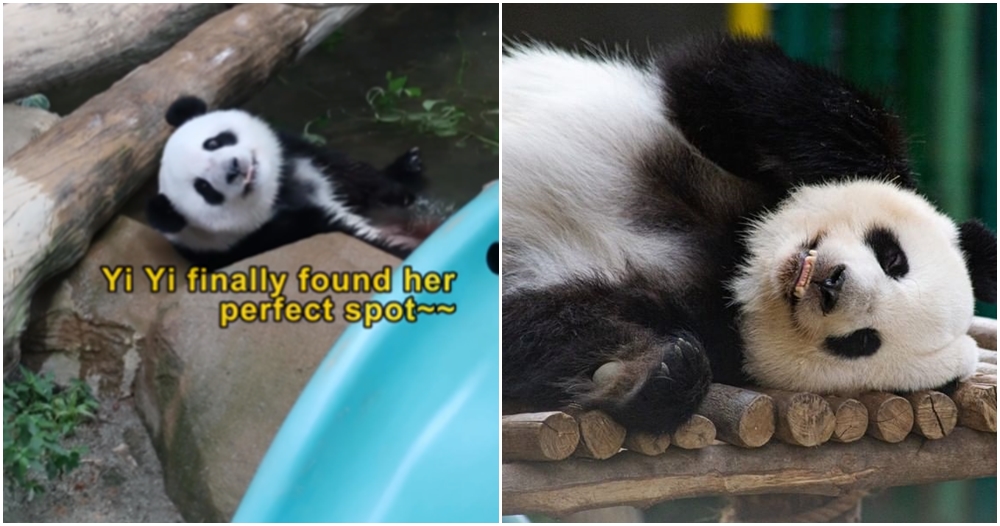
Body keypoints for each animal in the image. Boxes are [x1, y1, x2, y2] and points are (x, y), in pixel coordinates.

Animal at [147, 96, 437, 270]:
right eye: (204, 188)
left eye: (213, 143)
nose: (234, 168)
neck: (281, 192)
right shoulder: (273, 233)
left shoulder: (301, 156)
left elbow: (355, 176)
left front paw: (402, 182)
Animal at [501, 35, 997, 434]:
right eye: (894, 259)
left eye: (861, 342)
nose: (831, 283)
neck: (739, 260)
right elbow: (733, 81)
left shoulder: (706, 323)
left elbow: (542, 327)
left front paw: (650, 377)